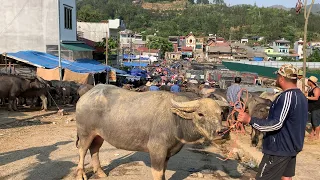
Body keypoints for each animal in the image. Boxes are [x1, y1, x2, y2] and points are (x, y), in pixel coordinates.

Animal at [75, 84, 229, 180]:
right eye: (200, 114)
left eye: (221, 113)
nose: (221, 132)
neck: (175, 120)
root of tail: (85, 96)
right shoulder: (157, 150)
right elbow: (157, 173)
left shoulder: (167, 153)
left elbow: (164, 171)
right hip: (85, 132)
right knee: (82, 150)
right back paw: (80, 174)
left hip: (98, 134)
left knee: (94, 149)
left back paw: (100, 172)